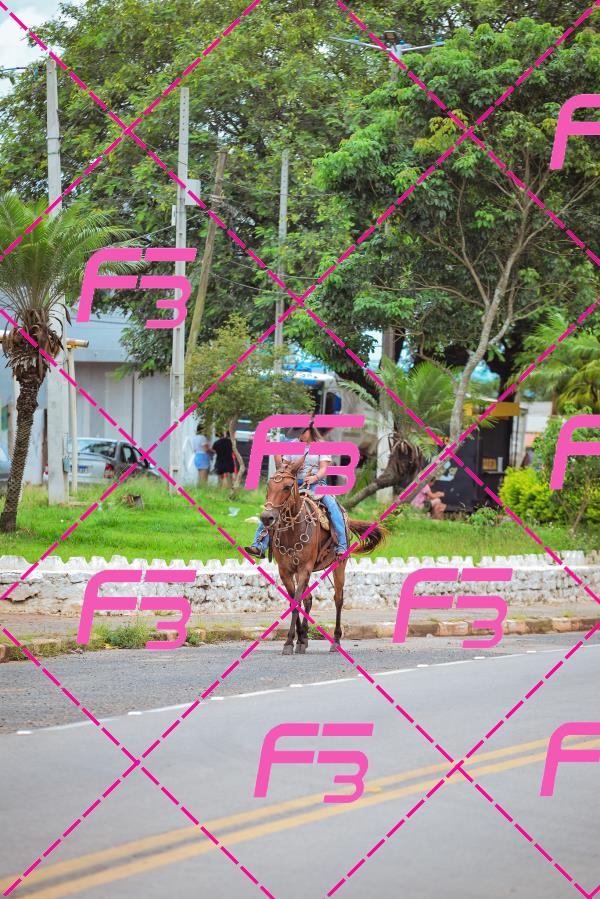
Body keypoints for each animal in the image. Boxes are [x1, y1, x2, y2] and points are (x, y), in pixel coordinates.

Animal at [258, 457, 388, 655]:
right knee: (309, 599)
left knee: (338, 599)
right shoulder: (285, 570)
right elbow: (294, 602)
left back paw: (336, 640)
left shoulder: (305, 568)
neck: (293, 531)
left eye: (287, 487)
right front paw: (297, 639)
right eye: (268, 485)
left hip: (339, 565)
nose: (267, 517)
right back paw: (303, 638)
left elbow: (297, 602)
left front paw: (289, 642)